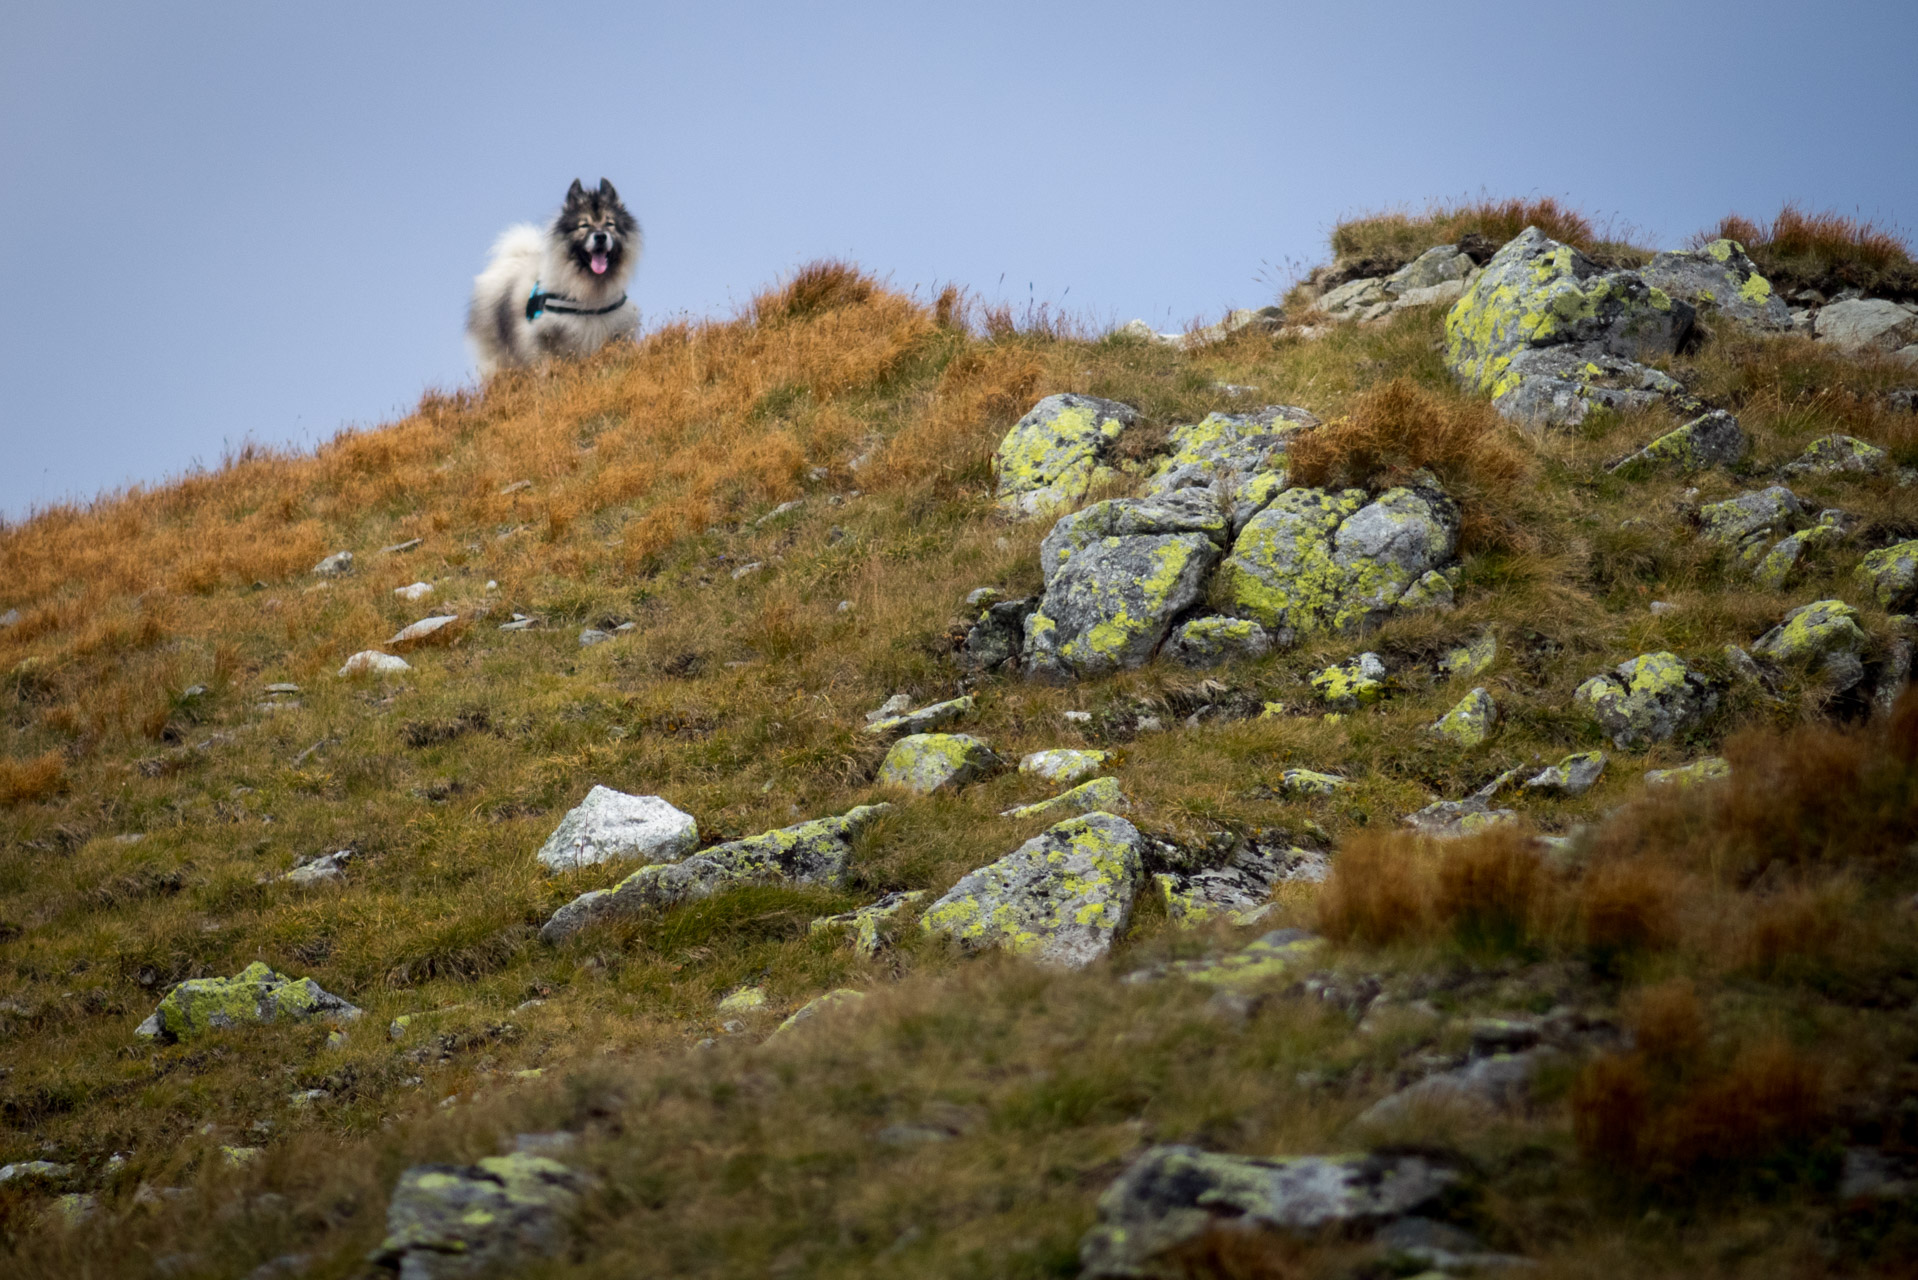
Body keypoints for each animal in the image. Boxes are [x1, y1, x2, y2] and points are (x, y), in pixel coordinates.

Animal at [466, 177, 640, 376]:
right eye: (584, 225)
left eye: (609, 224)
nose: (601, 236)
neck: (589, 295)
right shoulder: (544, 337)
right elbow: (548, 365)